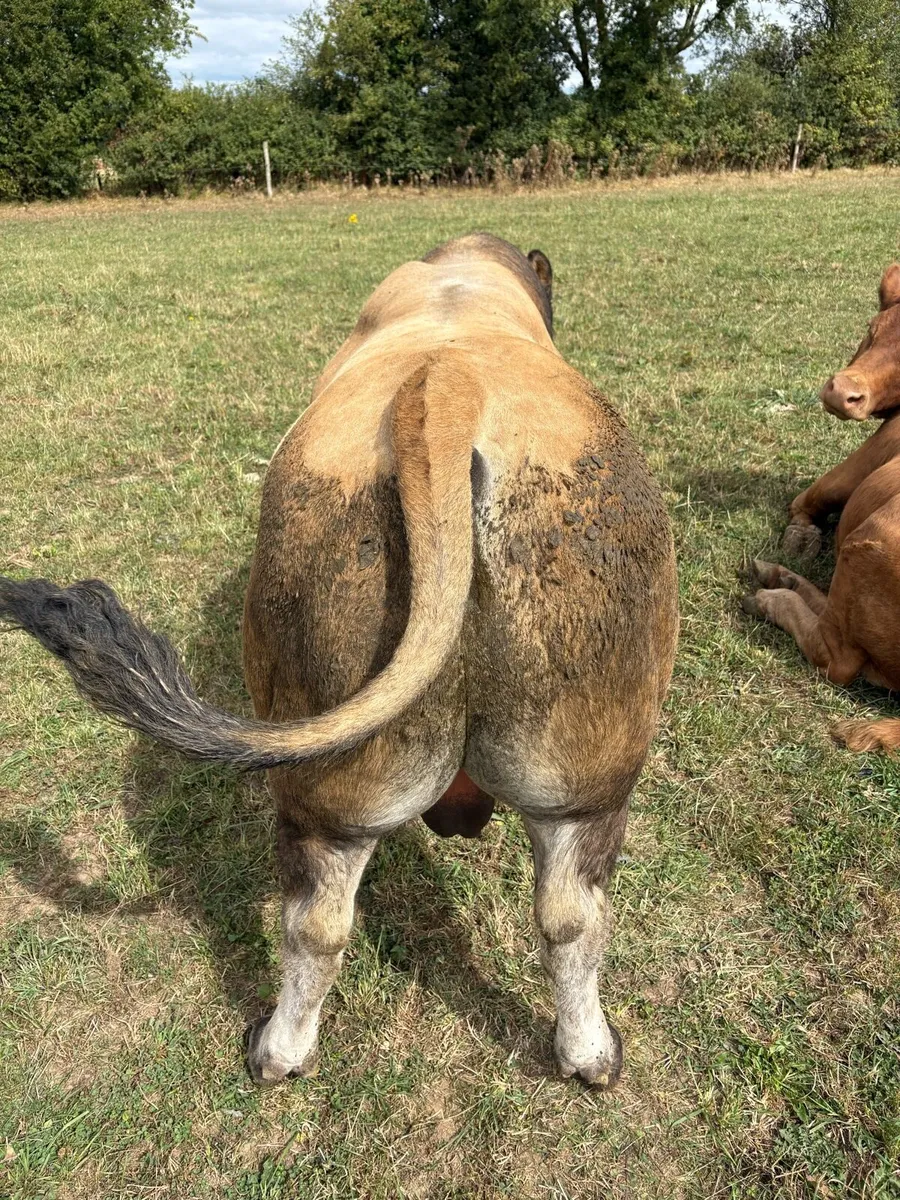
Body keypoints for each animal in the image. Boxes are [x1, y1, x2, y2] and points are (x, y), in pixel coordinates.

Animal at [743, 263, 900, 752]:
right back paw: (781, 576)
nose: (840, 392)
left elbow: (810, 496)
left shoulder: (869, 454)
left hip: (870, 542)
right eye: (872, 329)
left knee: (836, 656)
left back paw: (772, 596)